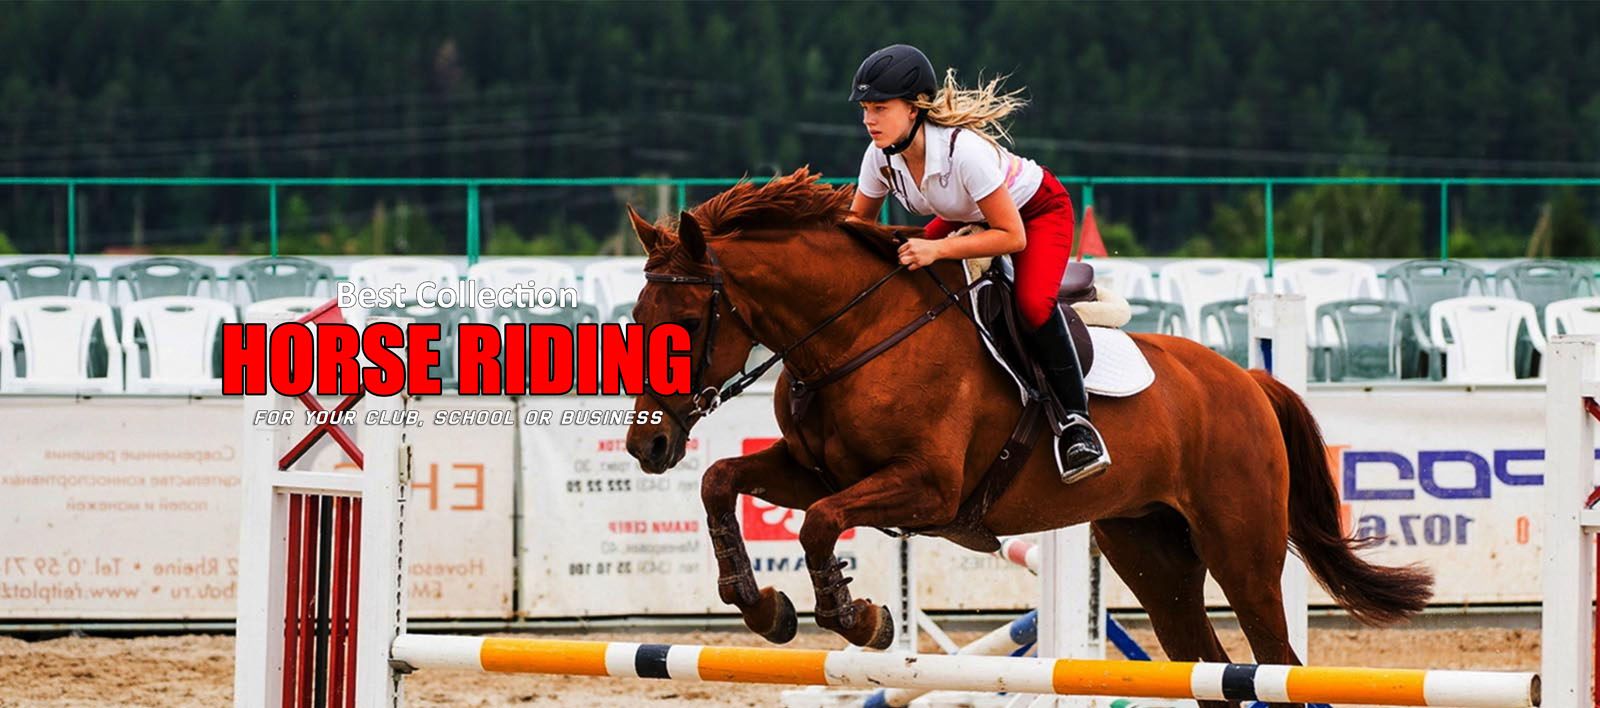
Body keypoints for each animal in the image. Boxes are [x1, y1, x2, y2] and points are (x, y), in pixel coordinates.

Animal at [622, 168, 1432, 708]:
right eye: (636, 319)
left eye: (685, 325)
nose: (646, 448)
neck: (855, 335)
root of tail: (1246, 380)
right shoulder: (817, 470)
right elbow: (721, 482)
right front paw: (761, 606)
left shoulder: (926, 488)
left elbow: (820, 524)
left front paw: (862, 619)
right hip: (1150, 549)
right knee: (1206, 665)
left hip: (1242, 548)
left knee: (1276, 660)